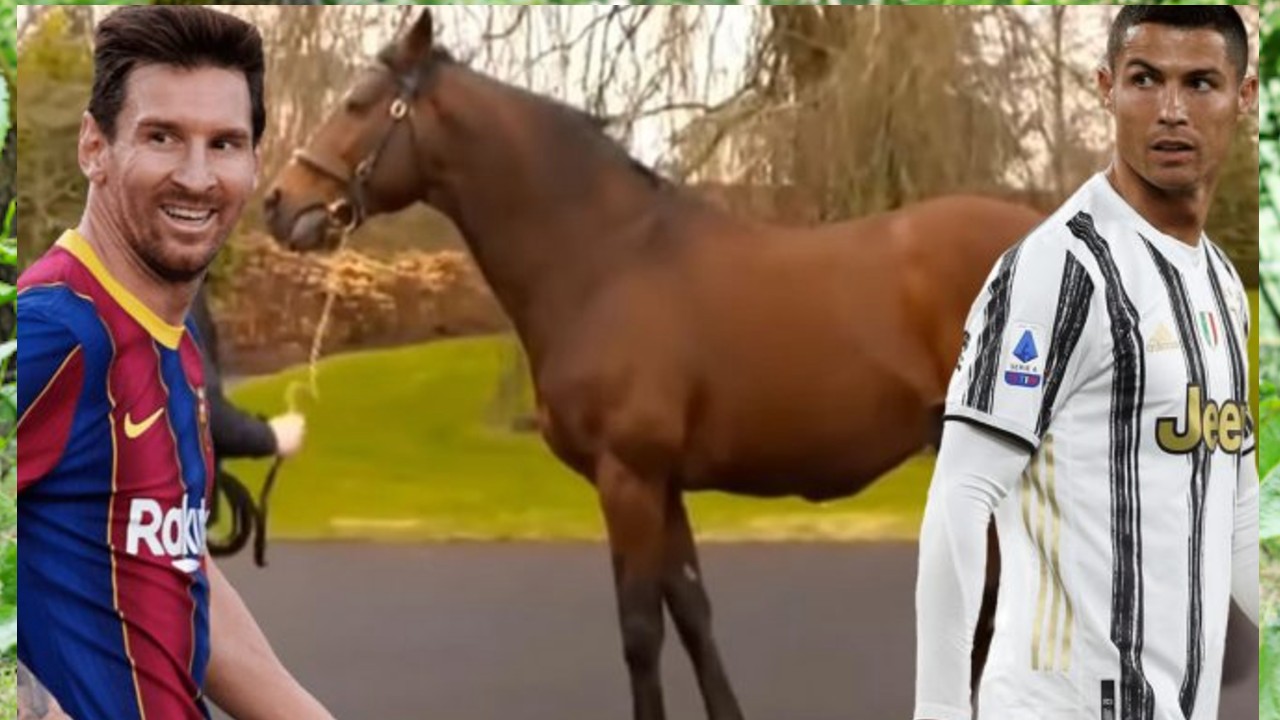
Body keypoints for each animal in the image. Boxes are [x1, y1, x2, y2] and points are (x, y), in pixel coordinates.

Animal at [263, 10, 1043, 720]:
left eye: (358, 103)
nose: (278, 203)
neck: (605, 260)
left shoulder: (628, 477)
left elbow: (640, 630)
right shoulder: (663, 485)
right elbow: (692, 614)